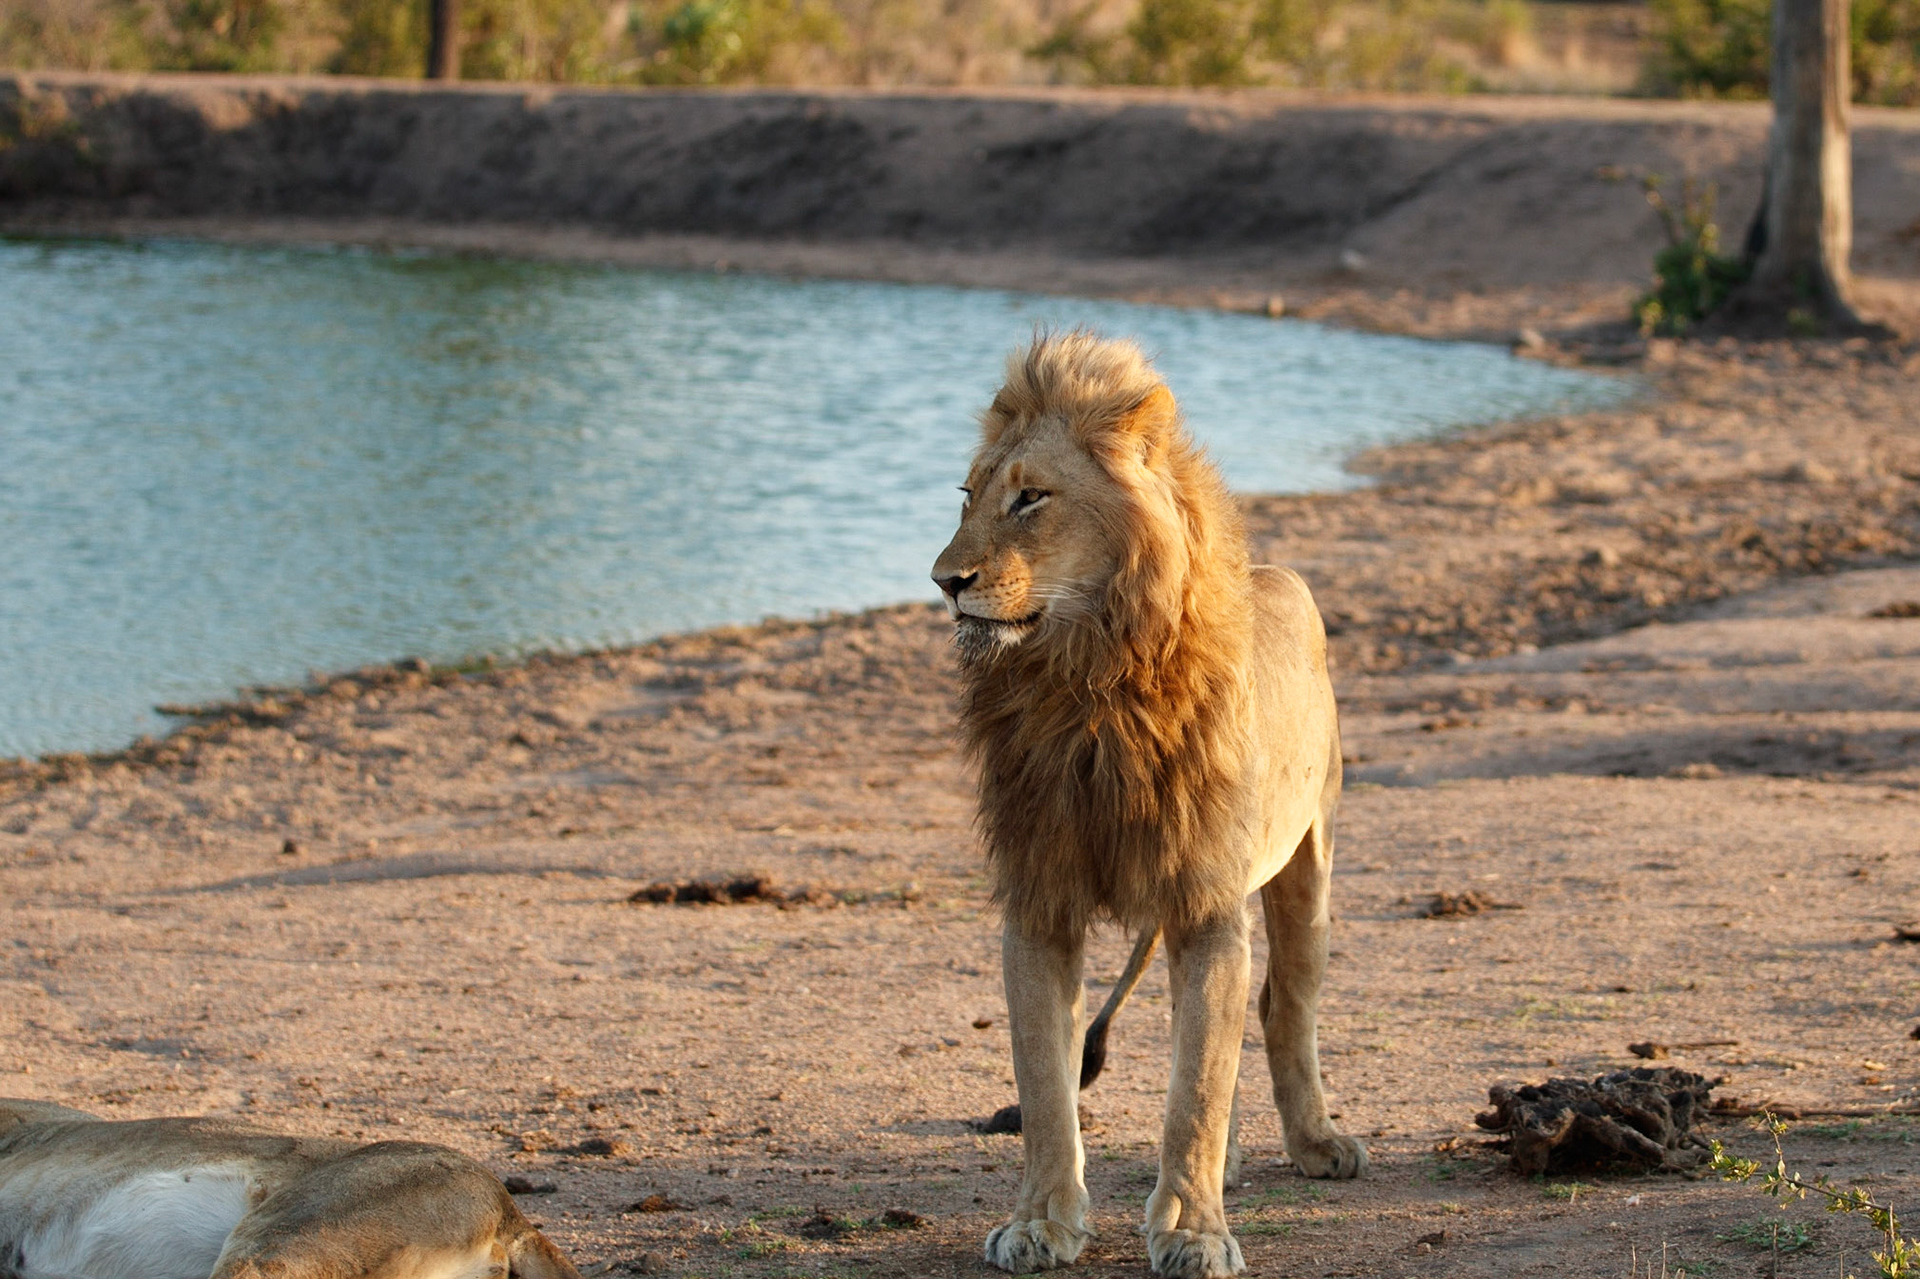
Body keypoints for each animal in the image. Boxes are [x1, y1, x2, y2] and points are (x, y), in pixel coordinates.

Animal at [930, 332, 1366, 1279]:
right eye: (968, 496)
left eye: (1032, 496)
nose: (945, 580)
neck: (1089, 683)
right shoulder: (1040, 898)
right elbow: (1045, 1080)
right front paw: (1041, 1221)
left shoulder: (1207, 905)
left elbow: (1198, 1083)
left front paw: (1194, 1231)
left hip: (1308, 863)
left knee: (1284, 1008)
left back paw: (1317, 1142)